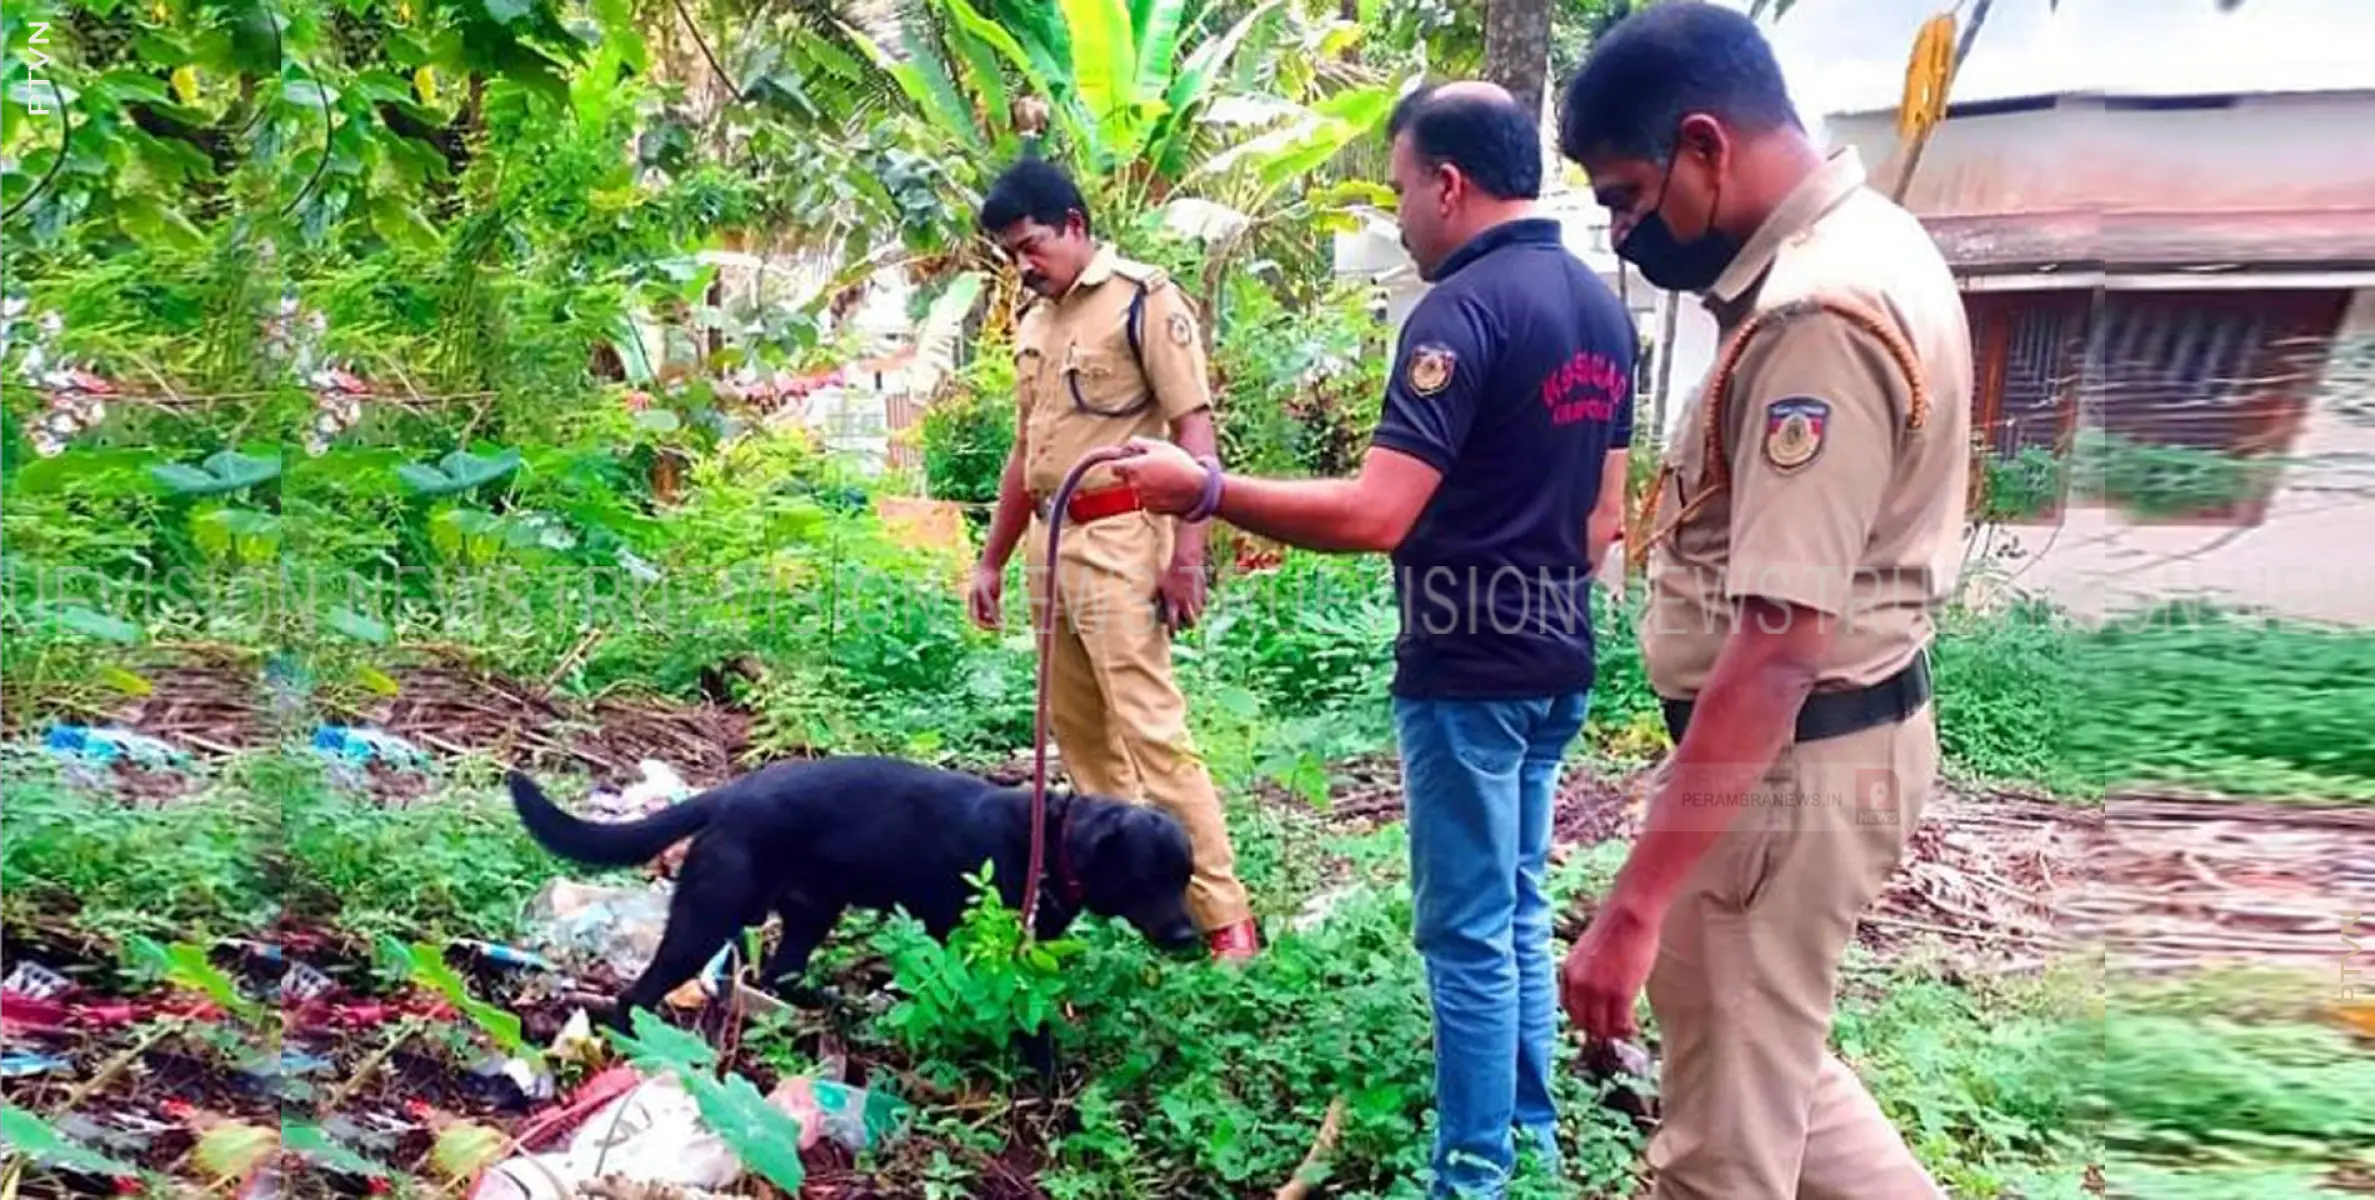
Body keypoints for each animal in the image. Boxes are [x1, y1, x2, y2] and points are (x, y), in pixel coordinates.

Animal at [503, 755, 1206, 1021]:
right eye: (1145, 878)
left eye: (1184, 878)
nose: (1188, 938)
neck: (1050, 841)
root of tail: (730, 794)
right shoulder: (961, 932)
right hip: (707, 914)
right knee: (646, 985)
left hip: (810, 913)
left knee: (775, 972)